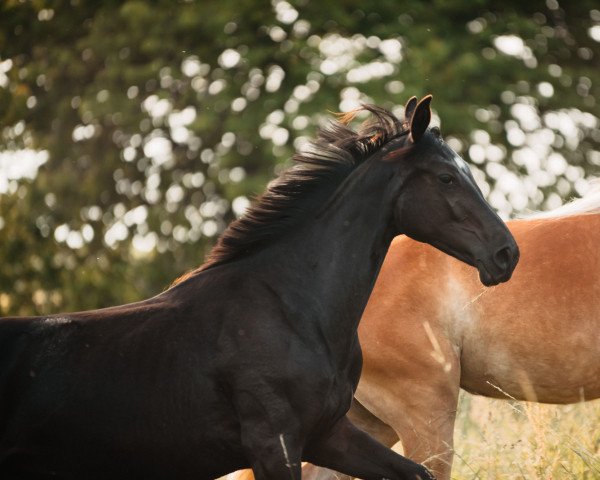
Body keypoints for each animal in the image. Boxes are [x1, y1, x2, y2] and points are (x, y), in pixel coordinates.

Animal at [0, 95, 516, 478]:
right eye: (447, 178)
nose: (506, 254)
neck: (291, 310)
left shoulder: (329, 435)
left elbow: (417, 472)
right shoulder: (274, 444)